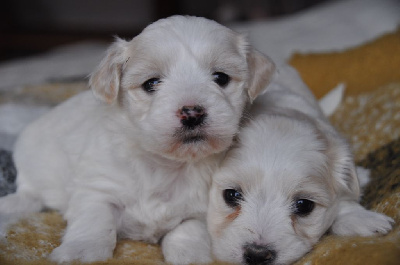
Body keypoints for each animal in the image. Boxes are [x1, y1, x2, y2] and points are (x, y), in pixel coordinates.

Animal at [0, 15, 276, 262]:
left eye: (221, 78)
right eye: (151, 83)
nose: (192, 112)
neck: (165, 165)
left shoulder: (201, 210)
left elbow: (189, 231)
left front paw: (191, 256)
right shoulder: (97, 188)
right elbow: (94, 221)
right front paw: (80, 252)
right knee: (29, 194)